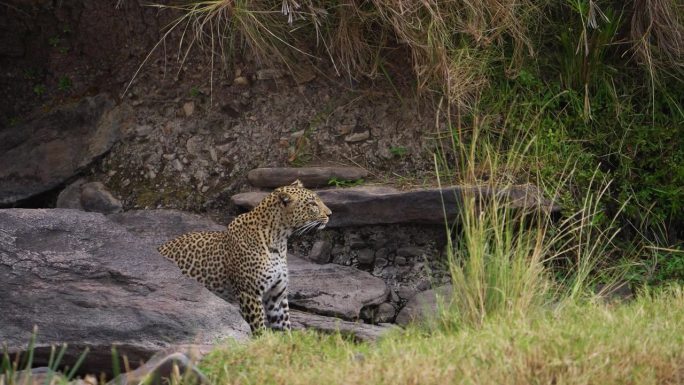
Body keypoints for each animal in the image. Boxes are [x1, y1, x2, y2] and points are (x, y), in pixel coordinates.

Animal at [158, 180, 334, 332]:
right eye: (312, 204)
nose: (330, 214)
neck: (279, 240)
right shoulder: (249, 293)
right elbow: (259, 327)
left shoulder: (276, 295)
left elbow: (284, 326)